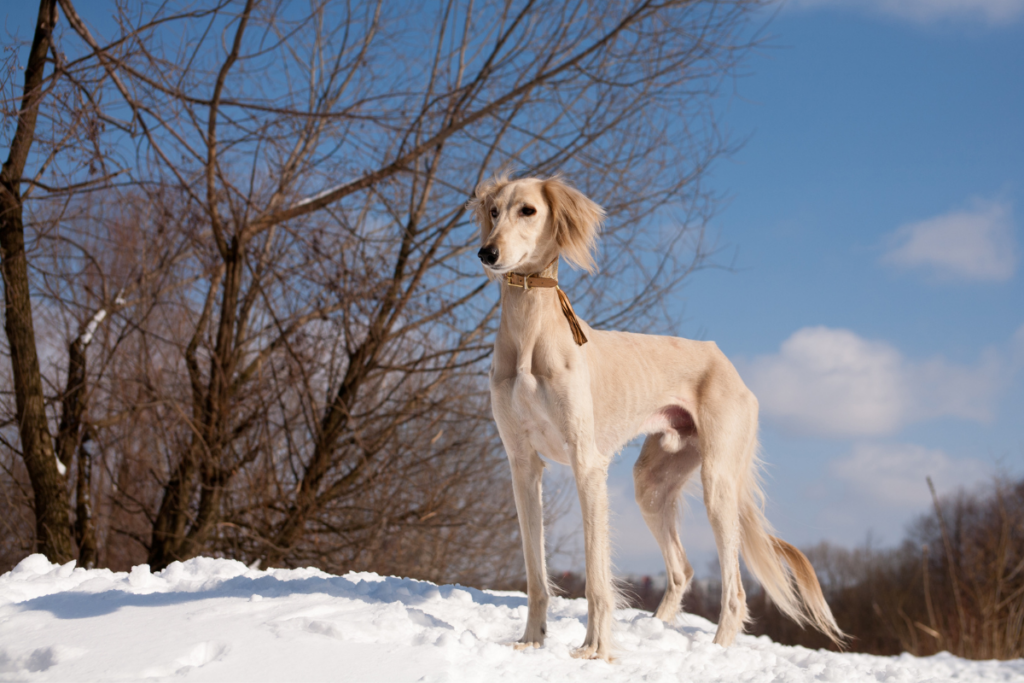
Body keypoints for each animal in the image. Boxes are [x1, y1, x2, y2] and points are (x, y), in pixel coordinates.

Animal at [468, 175, 843, 663]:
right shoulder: (522, 465)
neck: (530, 333)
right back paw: (659, 629)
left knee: (735, 591)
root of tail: (727, 363)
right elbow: (536, 572)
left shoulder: (587, 463)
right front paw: (532, 642)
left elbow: (597, 575)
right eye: (493, 211)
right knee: (682, 569)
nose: (487, 253)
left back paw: (714, 654)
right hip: (651, 483)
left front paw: (595, 650)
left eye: (528, 210)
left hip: (718, 482)